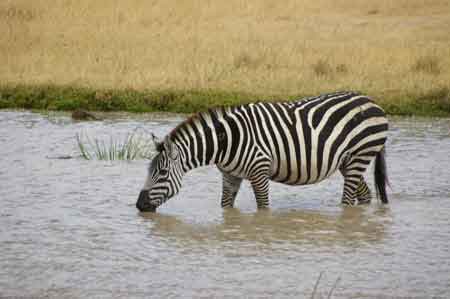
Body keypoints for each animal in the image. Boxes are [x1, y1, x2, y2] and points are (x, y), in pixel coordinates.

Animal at [135, 91, 388, 213]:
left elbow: (264, 208)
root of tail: (371, 101)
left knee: (348, 200)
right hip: (348, 161)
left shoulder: (259, 171)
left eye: (162, 173)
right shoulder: (230, 175)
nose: (139, 205)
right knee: (364, 195)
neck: (226, 141)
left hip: (360, 155)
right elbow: (226, 207)